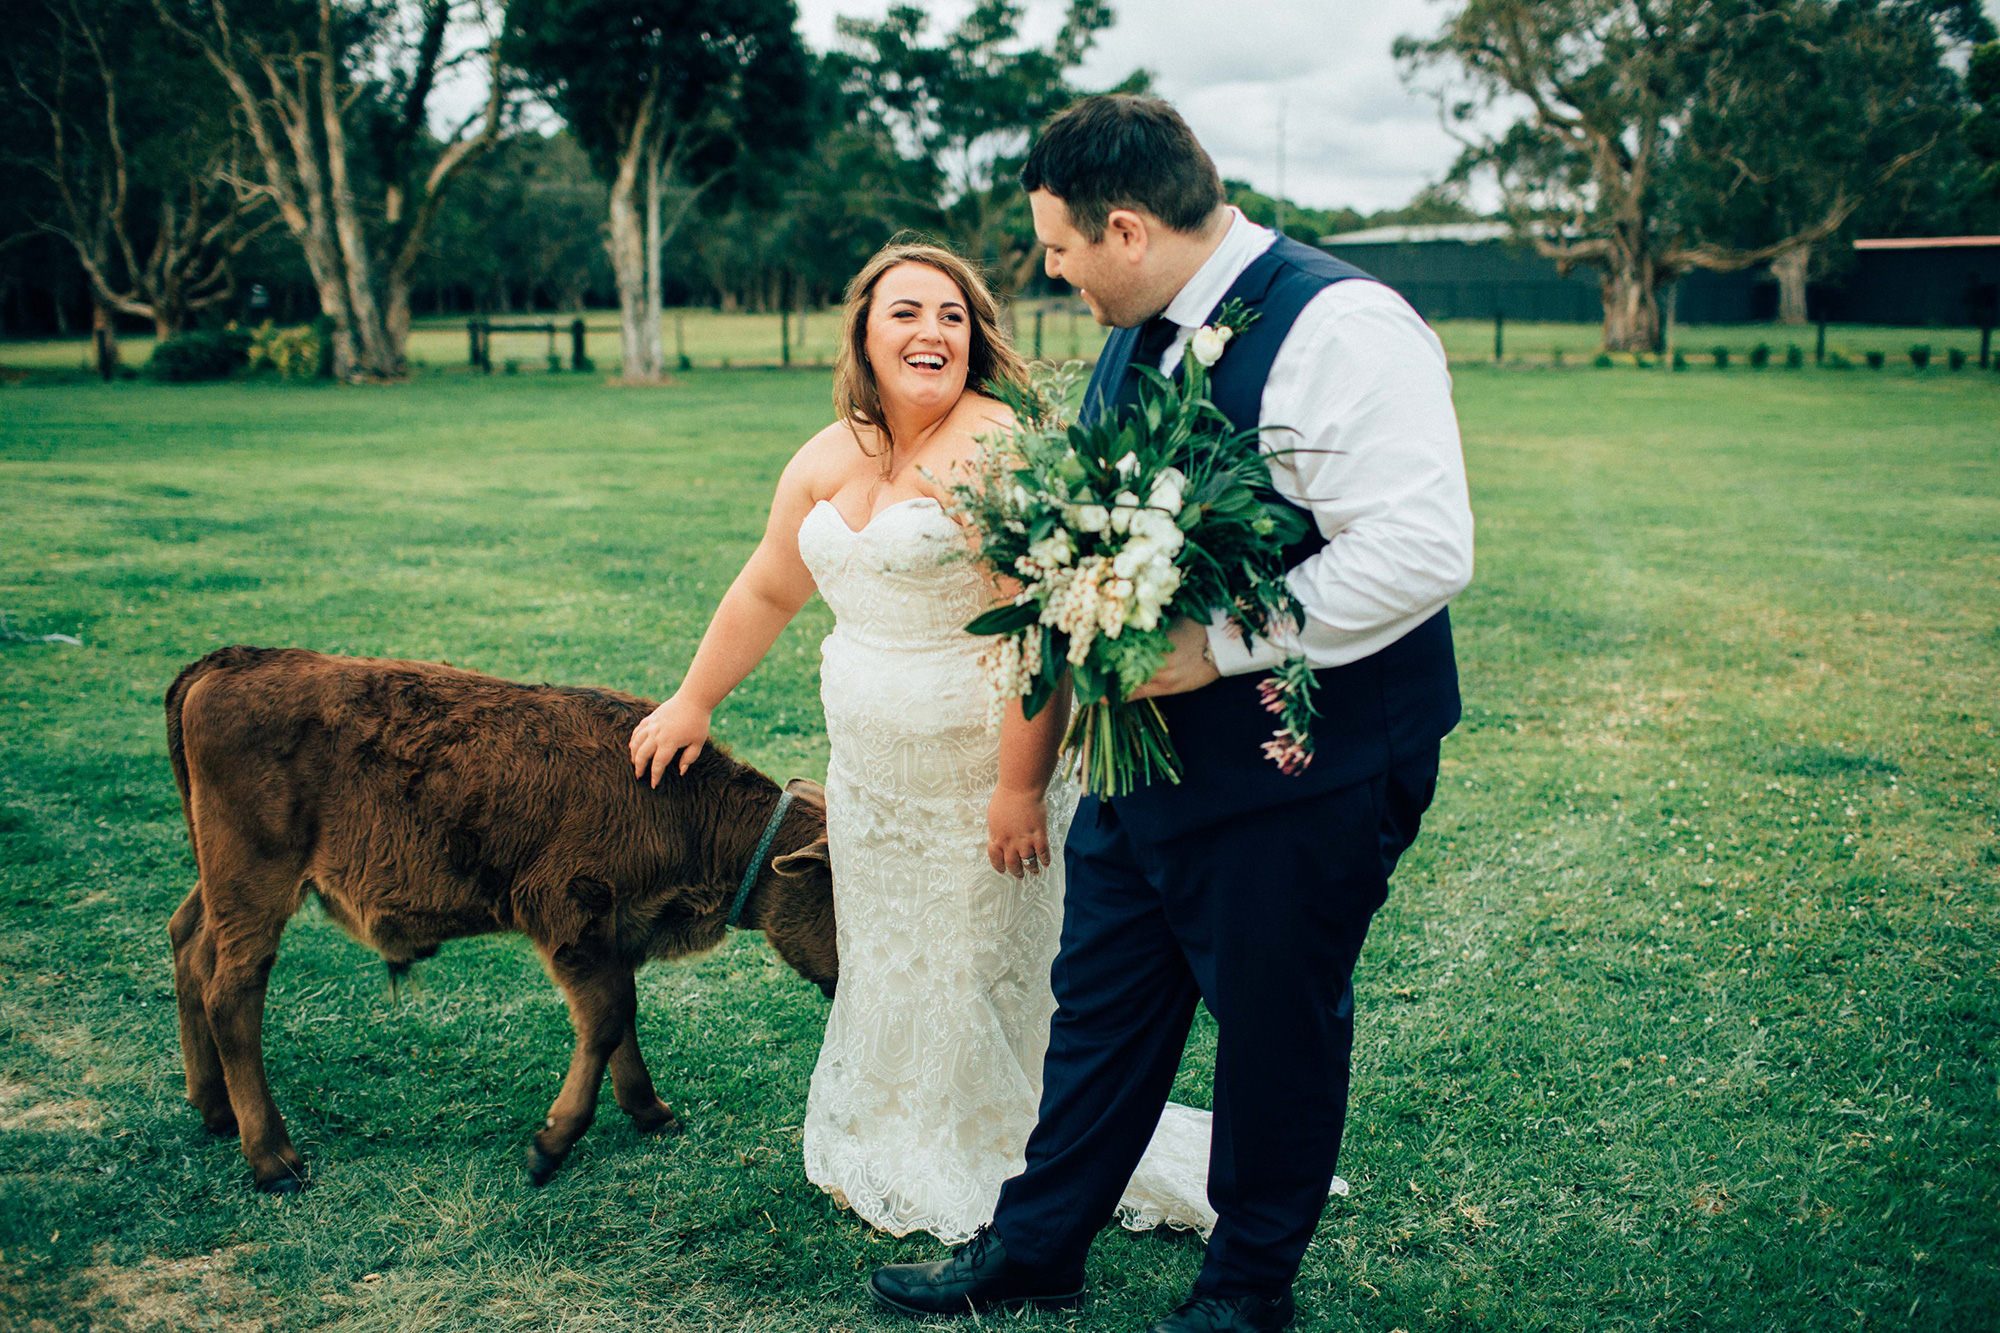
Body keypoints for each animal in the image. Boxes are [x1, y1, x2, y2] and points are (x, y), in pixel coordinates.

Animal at [162, 640, 836, 1184]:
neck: (678, 803)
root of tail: (235, 660)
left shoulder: (612, 930)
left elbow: (621, 1018)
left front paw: (648, 1111)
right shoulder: (568, 913)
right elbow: (607, 1019)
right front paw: (553, 1143)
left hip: (218, 880)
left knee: (188, 942)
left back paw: (214, 1107)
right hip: (254, 881)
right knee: (231, 990)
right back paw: (272, 1156)